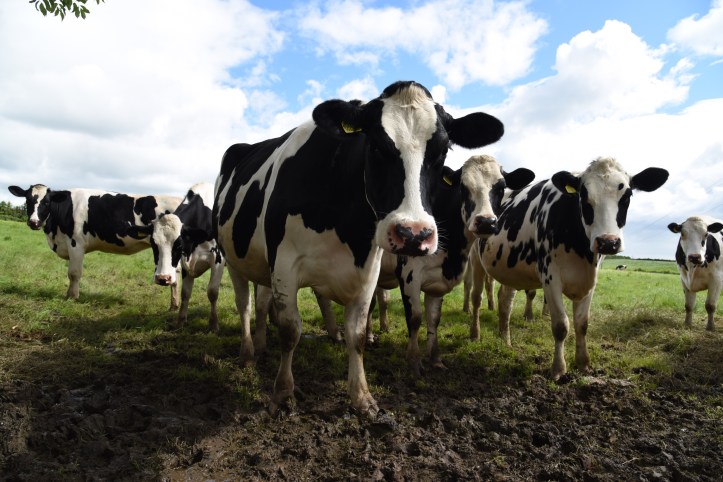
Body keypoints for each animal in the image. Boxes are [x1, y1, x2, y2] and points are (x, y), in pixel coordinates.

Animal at [8, 184, 182, 305]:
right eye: (27, 200)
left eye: (46, 202)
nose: (34, 222)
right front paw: (69, 295)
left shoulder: (76, 244)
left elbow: (74, 273)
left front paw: (73, 297)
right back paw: (174, 304)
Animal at [127, 182, 225, 333]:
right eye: (153, 244)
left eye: (179, 244)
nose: (163, 278)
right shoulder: (185, 263)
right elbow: (185, 293)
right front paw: (180, 321)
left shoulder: (218, 260)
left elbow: (212, 292)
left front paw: (213, 325)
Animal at [213, 81, 505, 415]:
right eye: (376, 146)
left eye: (443, 151)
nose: (413, 234)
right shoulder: (284, 263)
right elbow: (290, 331)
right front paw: (283, 394)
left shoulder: (368, 270)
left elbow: (358, 333)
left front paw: (362, 396)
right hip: (234, 259)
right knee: (245, 305)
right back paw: (249, 351)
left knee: (265, 305)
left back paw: (271, 343)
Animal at [479, 157, 668, 379]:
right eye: (583, 195)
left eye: (627, 195)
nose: (608, 242)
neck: (580, 249)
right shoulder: (550, 278)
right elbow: (561, 325)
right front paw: (558, 369)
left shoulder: (590, 282)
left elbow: (582, 324)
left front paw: (583, 363)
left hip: (511, 269)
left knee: (505, 301)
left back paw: (505, 341)